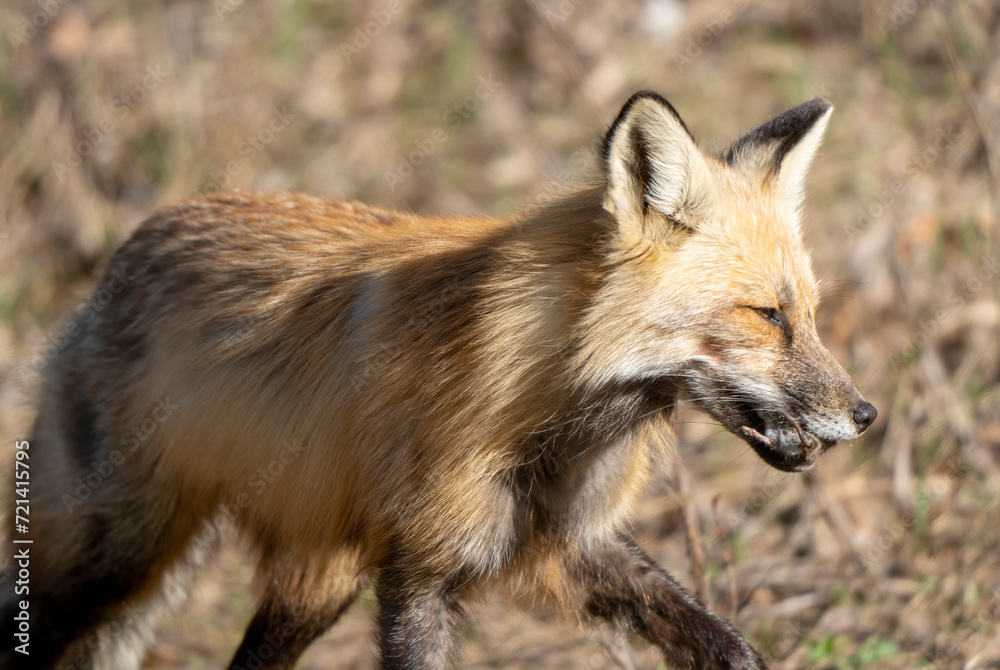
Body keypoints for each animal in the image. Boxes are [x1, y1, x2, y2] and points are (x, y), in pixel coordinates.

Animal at [3, 91, 876, 670]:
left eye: (811, 315)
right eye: (767, 316)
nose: (865, 415)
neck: (543, 418)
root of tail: (137, 237)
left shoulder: (569, 543)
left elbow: (717, 637)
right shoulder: (418, 573)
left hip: (310, 587)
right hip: (110, 560)